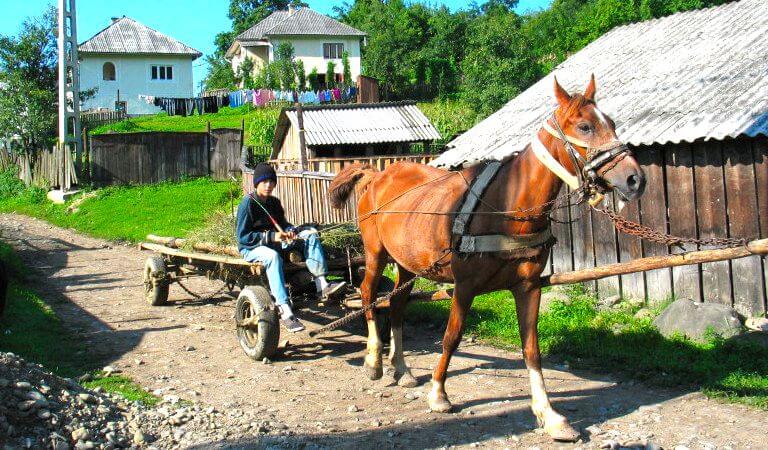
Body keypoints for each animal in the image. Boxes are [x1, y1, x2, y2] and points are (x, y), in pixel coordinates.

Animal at [328, 76, 644, 440]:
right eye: (585, 126)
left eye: (613, 123)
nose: (635, 178)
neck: (508, 206)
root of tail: (376, 175)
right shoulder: (465, 287)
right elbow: (451, 337)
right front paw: (438, 393)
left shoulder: (528, 287)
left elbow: (531, 348)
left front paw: (549, 414)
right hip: (376, 253)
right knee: (368, 295)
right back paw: (374, 361)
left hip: (406, 263)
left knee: (396, 304)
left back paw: (402, 368)